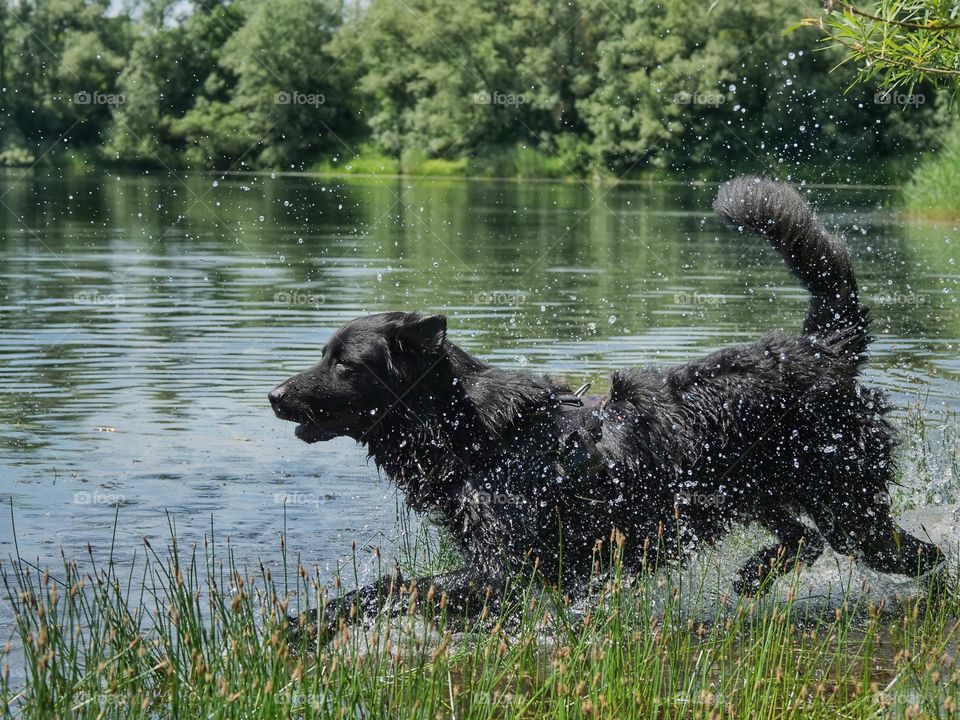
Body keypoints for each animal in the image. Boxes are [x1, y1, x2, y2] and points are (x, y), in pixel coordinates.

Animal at [272, 177, 944, 640]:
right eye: (324, 354)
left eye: (344, 363)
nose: (275, 396)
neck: (474, 436)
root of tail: (820, 348)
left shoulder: (500, 572)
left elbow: (391, 587)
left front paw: (308, 625)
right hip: (760, 495)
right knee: (803, 540)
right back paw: (757, 573)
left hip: (847, 506)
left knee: (915, 555)